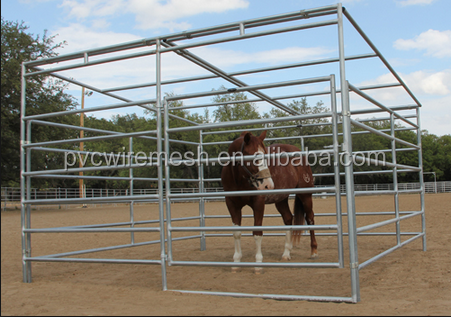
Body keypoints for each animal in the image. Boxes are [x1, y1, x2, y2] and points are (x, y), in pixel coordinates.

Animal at [221, 130, 316, 272]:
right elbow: (236, 233)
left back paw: (314, 251)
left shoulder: (258, 204)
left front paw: (258, 264)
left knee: (310, 218)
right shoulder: (232, 205)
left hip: (305, 195)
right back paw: (286, 253)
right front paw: (236, 262)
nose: (268, 185)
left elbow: (257, 233)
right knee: (288, 218)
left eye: (266, 156)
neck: (238, 178)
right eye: (253, 157)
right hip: (281, 199)